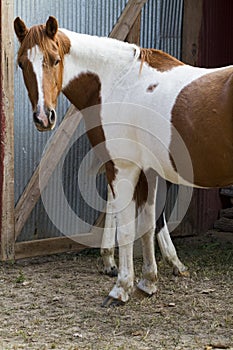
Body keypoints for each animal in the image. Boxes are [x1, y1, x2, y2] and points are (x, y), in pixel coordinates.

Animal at [14, 16, 233, 306]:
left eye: (55, 59)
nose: (43, 117)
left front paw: (121, 288)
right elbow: (148, 225)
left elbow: (128, 229)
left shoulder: (122, 167)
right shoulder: (148, 171)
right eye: (22, 63)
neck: (120, 81)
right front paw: (148, 282)